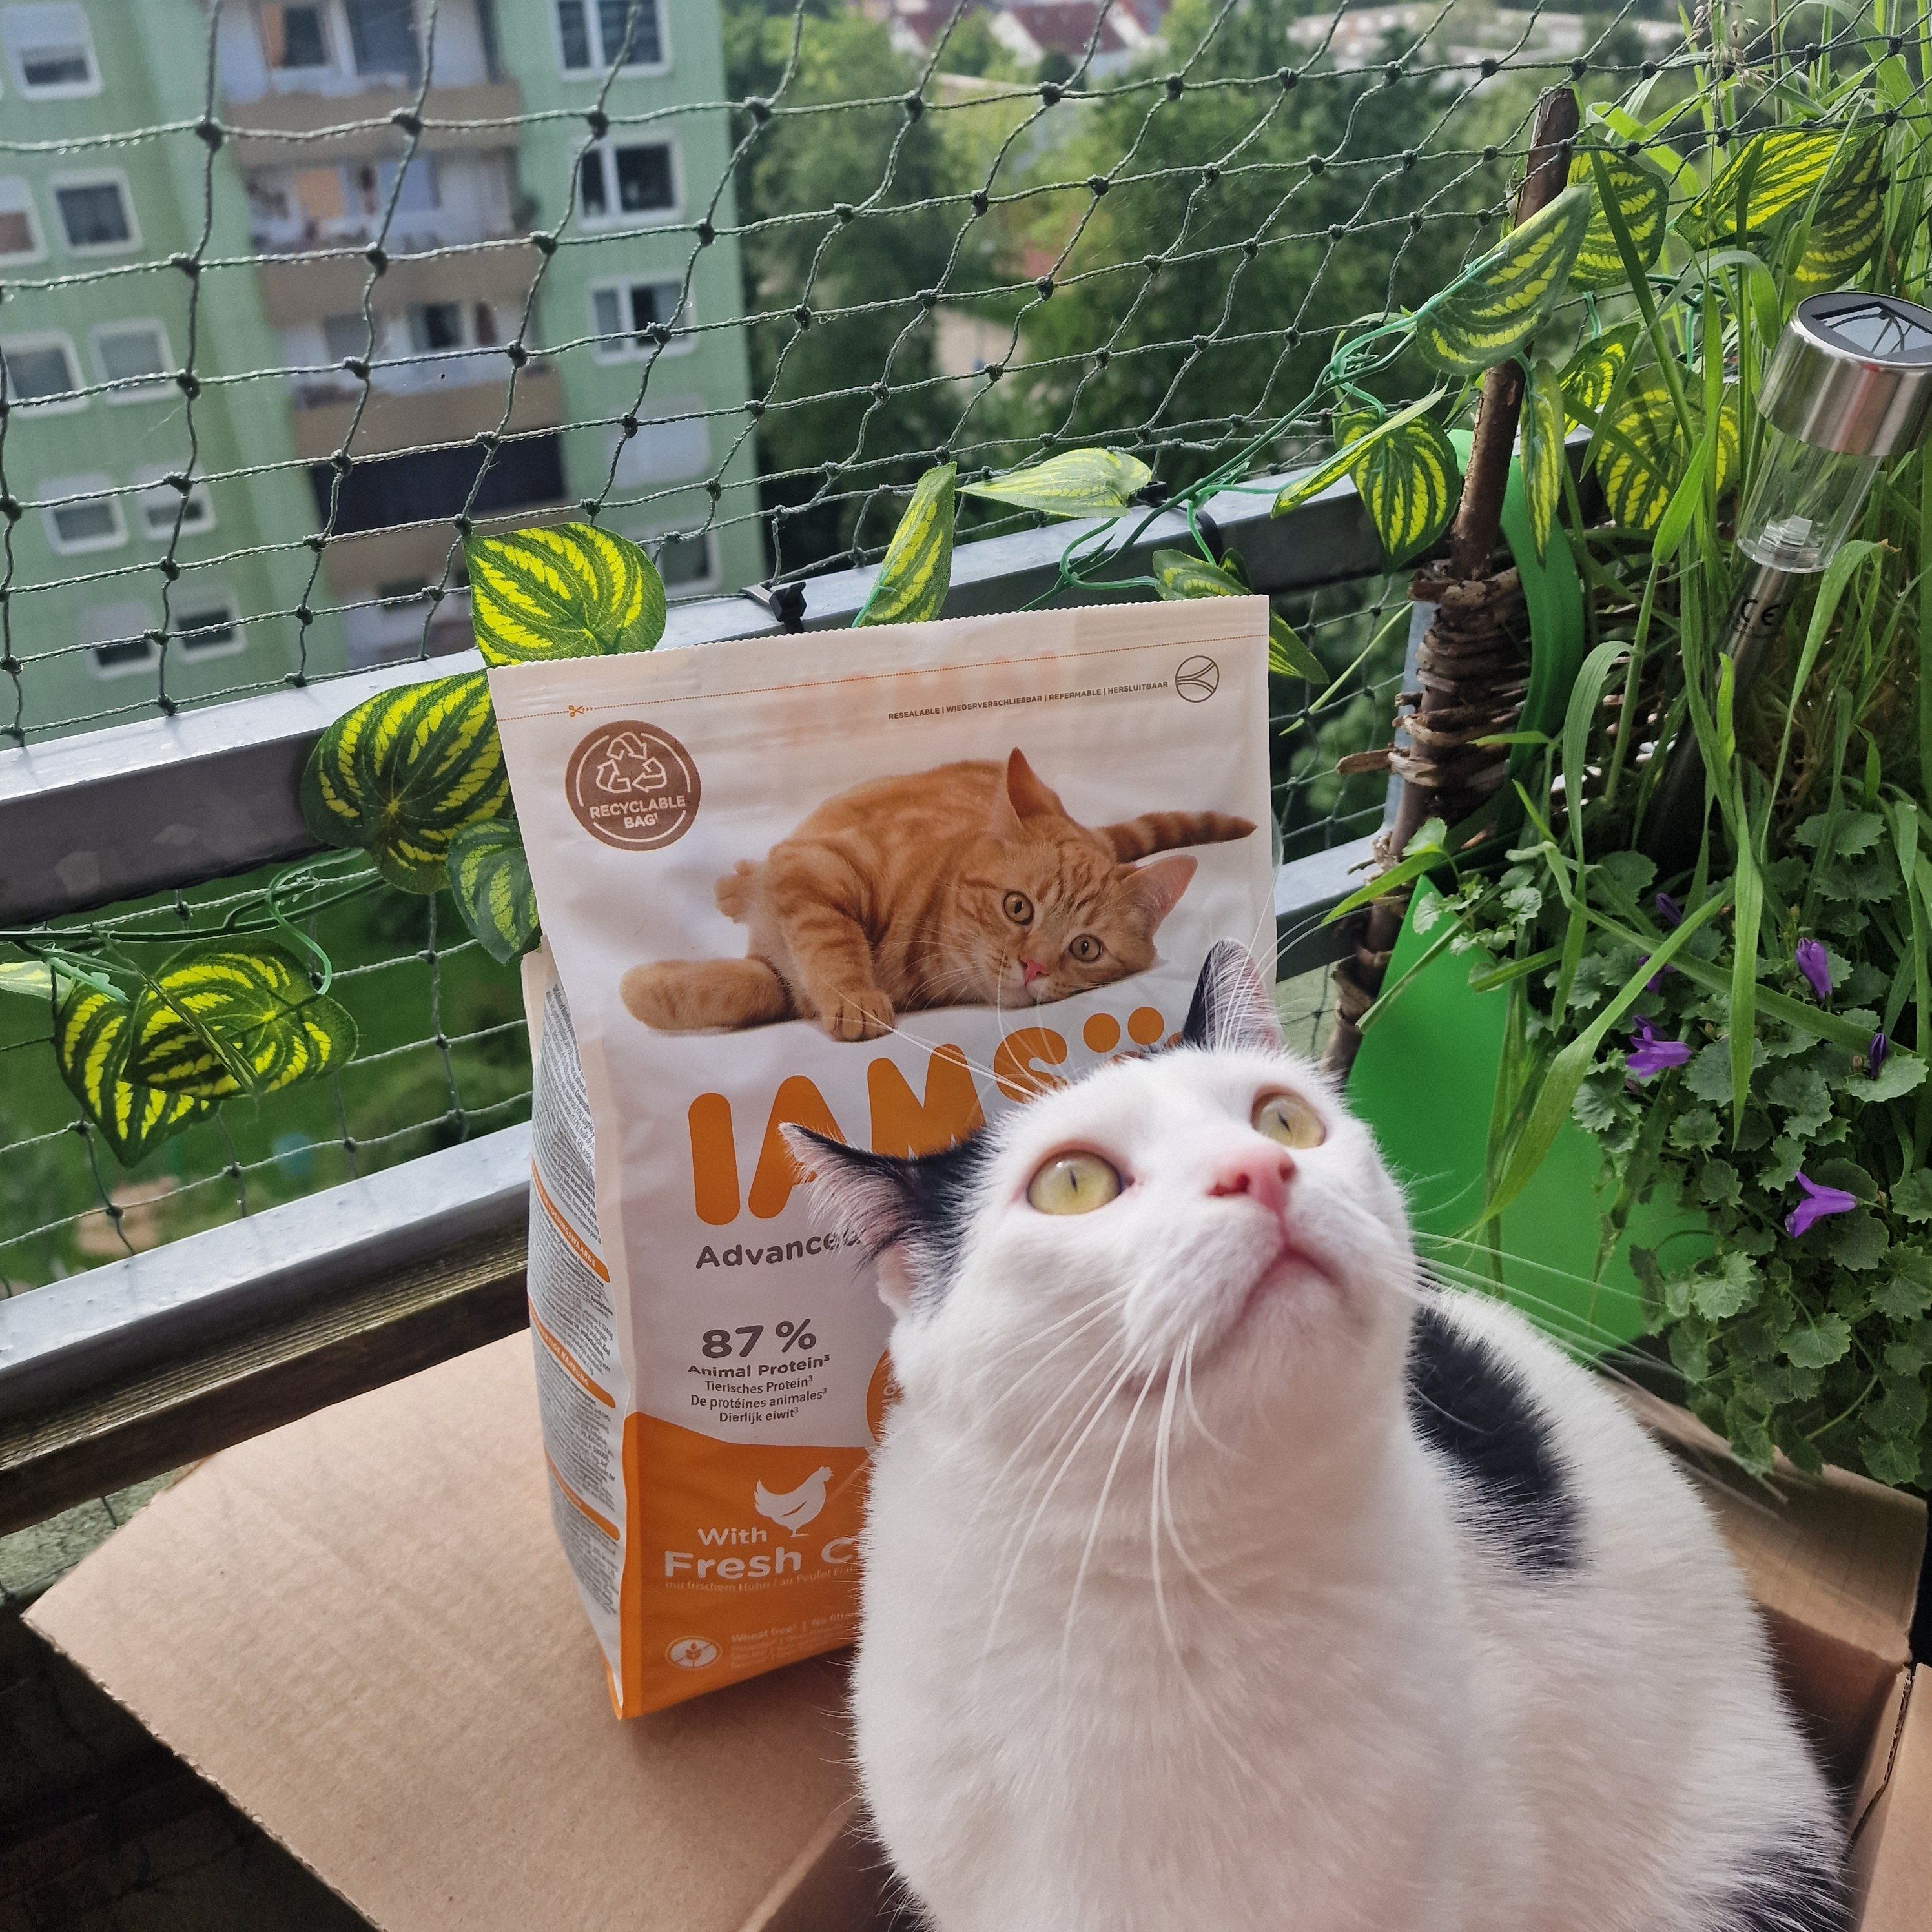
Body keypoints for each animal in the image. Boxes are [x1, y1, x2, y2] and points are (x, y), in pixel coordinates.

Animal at [619, 748, 1254, 1042]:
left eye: (1085, 949)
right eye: (1018, 907)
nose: (1033, 967)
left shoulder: (787, 971)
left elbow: (748, 987)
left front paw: (646, 989)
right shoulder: (815, 869)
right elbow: (823, 942)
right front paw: (854, 996)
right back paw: (737, 883)